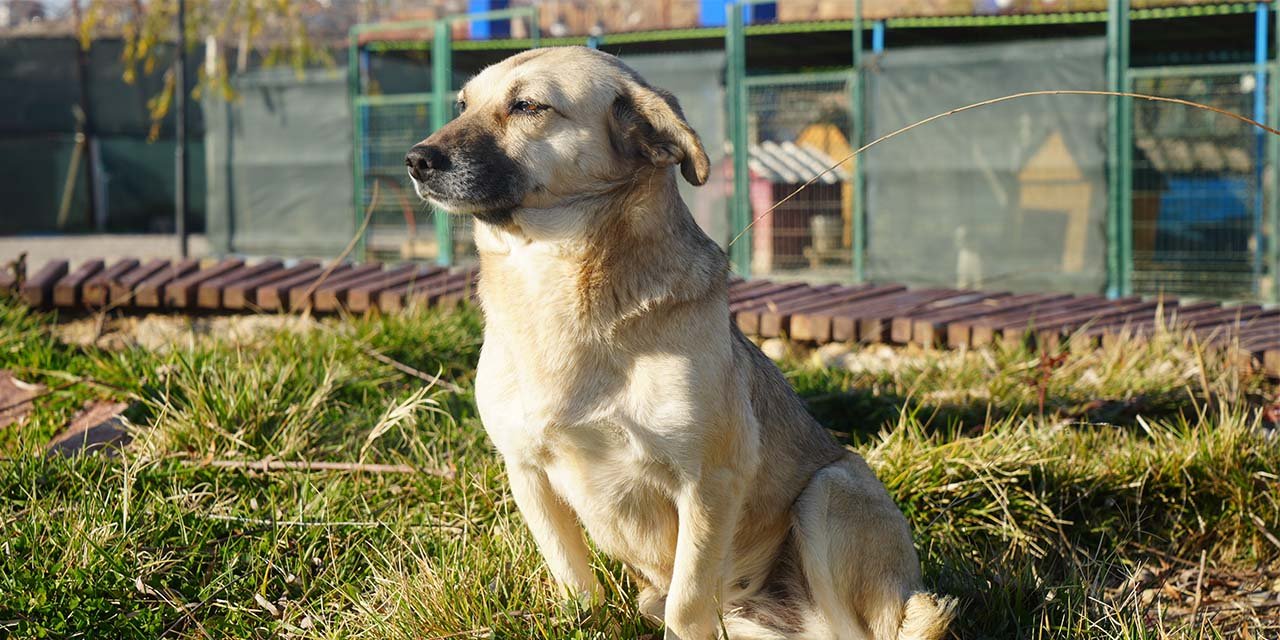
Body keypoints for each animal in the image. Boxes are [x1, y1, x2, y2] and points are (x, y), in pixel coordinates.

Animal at [404, 47, 957, 637]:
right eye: (462, 105)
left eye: (528, 105)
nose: (416, 160)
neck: (553, 284)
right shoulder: (526, 468)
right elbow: (572, 575)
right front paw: (582, 617)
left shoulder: (710, 481)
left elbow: (688, 601)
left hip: (832, 488)